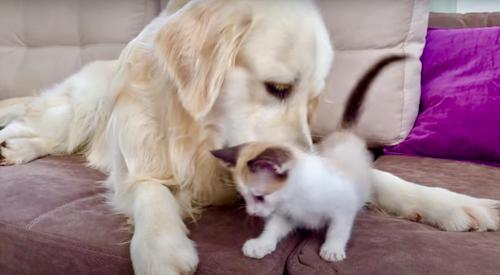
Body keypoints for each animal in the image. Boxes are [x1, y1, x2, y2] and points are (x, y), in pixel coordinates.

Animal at [211, 55, 406, 264]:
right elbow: (272, 228)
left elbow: (338, 230)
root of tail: (344, 134)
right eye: (245, 197)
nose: (252, 213)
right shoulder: (286, 215)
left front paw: (332, 249)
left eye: (259, 197)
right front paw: (260, 244)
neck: (294, 198)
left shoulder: (343, 207)